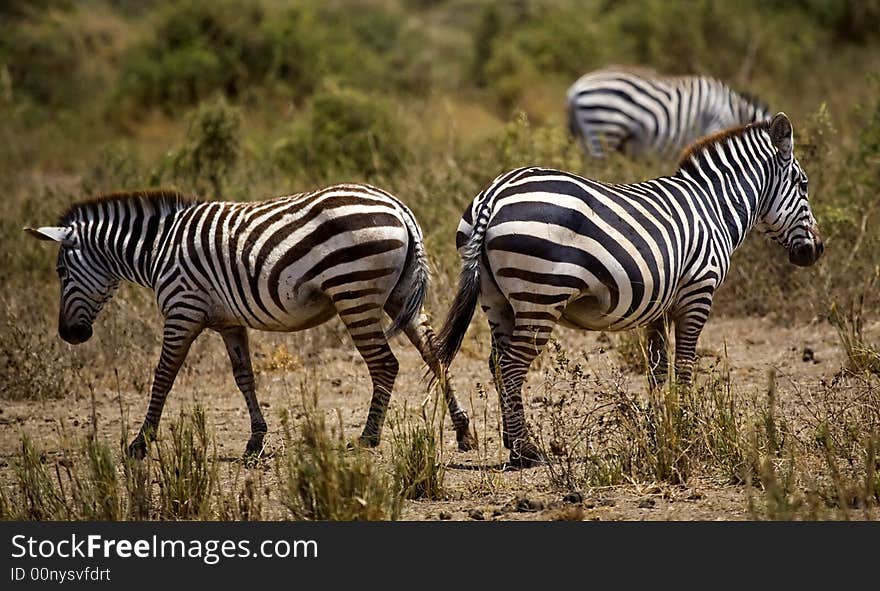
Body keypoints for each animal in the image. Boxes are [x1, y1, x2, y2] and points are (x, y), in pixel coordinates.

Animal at [27, 184, 478, 458]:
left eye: (60, 272)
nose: (70, 334)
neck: (157, 249)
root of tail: (399, 208)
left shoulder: (182, 309)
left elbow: (163, 376)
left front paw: (141, 442)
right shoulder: (229, 322)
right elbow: (244, 376)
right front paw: (255, 440)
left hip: (355, 293)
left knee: (385, 364)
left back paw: (367, 438)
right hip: (400, 296)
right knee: (436, 354)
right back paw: (463, 431)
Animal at [440, 113, 824, 470]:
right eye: (804, 185)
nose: (816, 251)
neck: (714, 208)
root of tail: (494, 194)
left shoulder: (659, 305)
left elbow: (657, 368)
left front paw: (660, 428)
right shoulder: (698, 294)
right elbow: (684, 365)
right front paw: (686, 426)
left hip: (496, 300)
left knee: (496, 363)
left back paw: (513, 440)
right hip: (540, 296)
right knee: (511, 365)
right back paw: (525, 451)